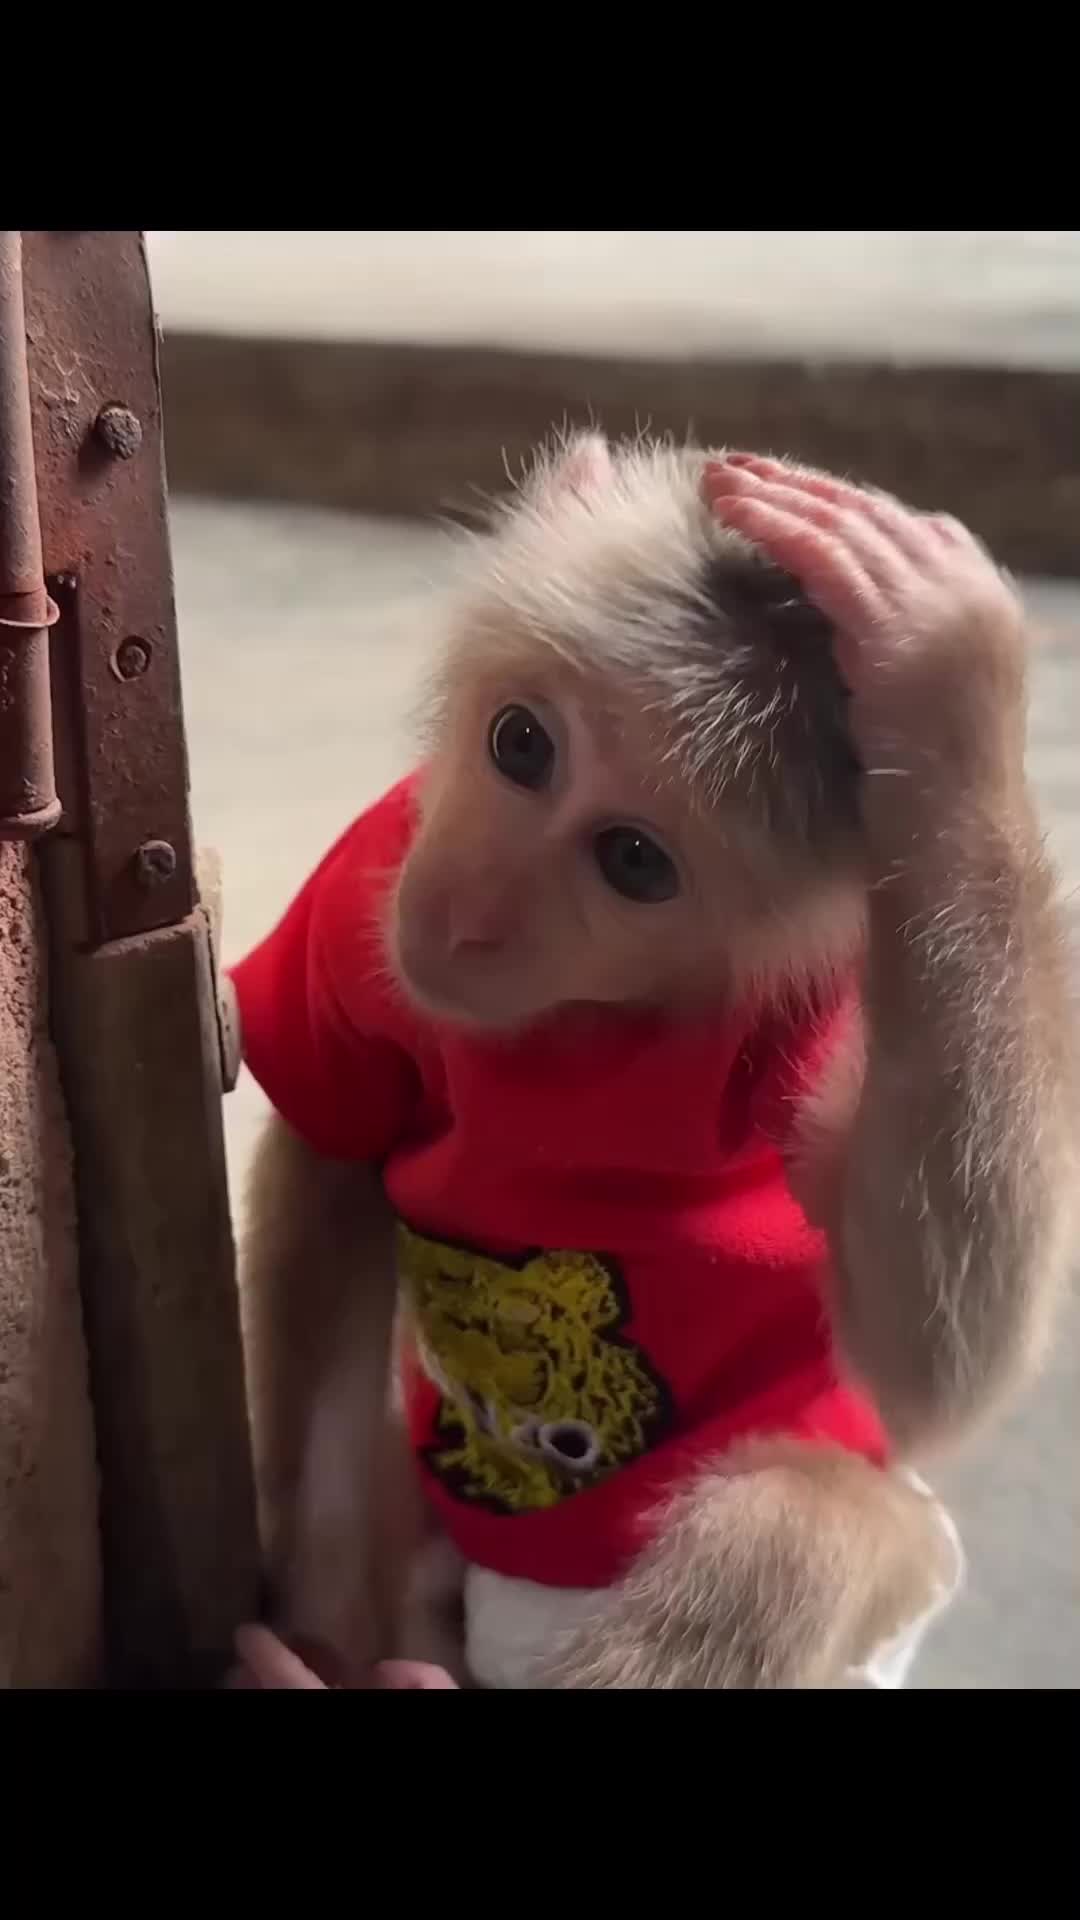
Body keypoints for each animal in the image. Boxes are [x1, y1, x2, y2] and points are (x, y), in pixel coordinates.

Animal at [227, 436, 1076, 1690]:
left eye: (632, 860)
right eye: (522, 743)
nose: (468, 919)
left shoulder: (820, 1013)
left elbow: (932, 1356)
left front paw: (949, 684)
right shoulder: (365, 880)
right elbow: (332, 1165)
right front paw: (317, 1634)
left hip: (900, 1569)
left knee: (794, 1531)